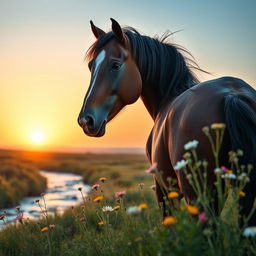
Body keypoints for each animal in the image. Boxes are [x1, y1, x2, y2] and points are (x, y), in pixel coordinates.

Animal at [77, 18, 256, 224]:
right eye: (91, 66)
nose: (85, 120)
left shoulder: (163, 188)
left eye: (115, 65)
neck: (167, 98)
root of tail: (232, 94)